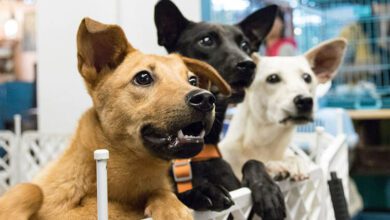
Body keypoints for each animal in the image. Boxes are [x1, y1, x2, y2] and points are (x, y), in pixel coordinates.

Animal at [0, 18, 232, 219]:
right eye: (143, 77)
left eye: (192, 80)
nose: (205, 98)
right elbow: (30, 189)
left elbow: (162, 191)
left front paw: (180, 203)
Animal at [155, 0, 286, 219]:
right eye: (206, 40)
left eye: (245, 45)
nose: (248, 65)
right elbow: (175, 197)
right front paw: (202, 191)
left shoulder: (243, 208)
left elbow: (253, 162)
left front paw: (267, 189)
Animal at [219, 38, 348, 180]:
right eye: (273, 78)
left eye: (307, 77)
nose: (305, 101)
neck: (264, 143)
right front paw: (274, 166)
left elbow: (292, 157)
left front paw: (293, 163)